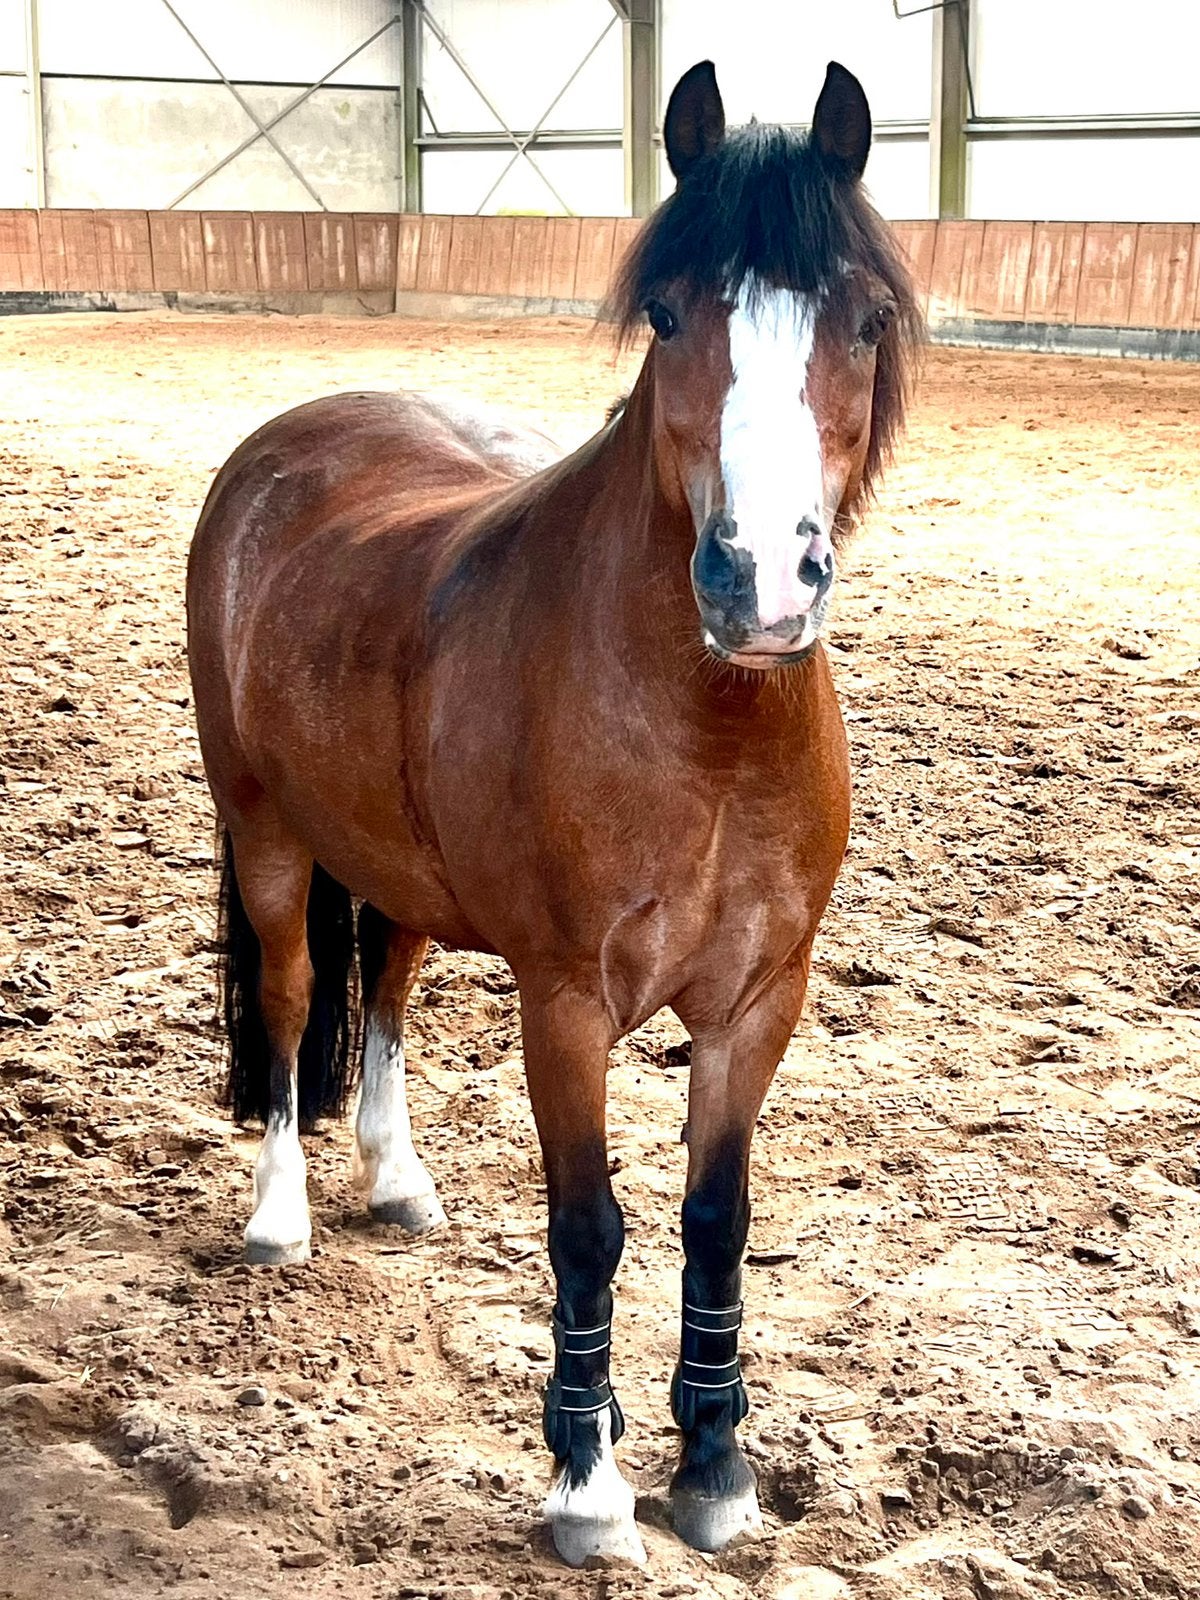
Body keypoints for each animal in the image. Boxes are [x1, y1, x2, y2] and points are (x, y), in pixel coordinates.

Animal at [186, 58, 919, 1567]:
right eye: (669, 313)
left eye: (865, 320)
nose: (760, 585)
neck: (704, 734)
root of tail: (283, 448)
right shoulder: (567, 1001)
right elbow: (588, 1226)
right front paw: (587, 1482)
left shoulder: (760, 1001)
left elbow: (715, 1219)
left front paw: (714, 1469)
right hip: (269, 833)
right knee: (288, 1001)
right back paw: (282, 1213)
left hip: (397, 865)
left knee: (388, 986)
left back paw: (395, 1180)